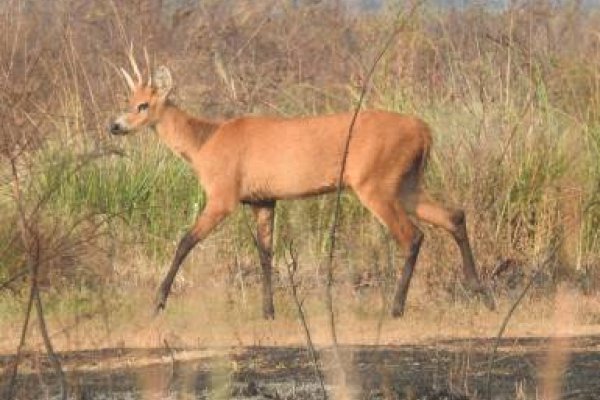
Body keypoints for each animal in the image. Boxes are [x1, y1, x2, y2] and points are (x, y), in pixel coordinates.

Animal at [110, 51, 494, 318]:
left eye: (142, 105)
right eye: (127, 101)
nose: (114, 126)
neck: (204, 144)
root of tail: (425, 131)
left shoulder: (223, 194)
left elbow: (185, 241)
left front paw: (157, 302)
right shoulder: (263, 200)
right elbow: (266, 254)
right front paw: (268, 311)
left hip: (375, 182)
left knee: (413, 235)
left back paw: (396, 307)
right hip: (407, 182)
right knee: (454, 215)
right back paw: (481, 293)